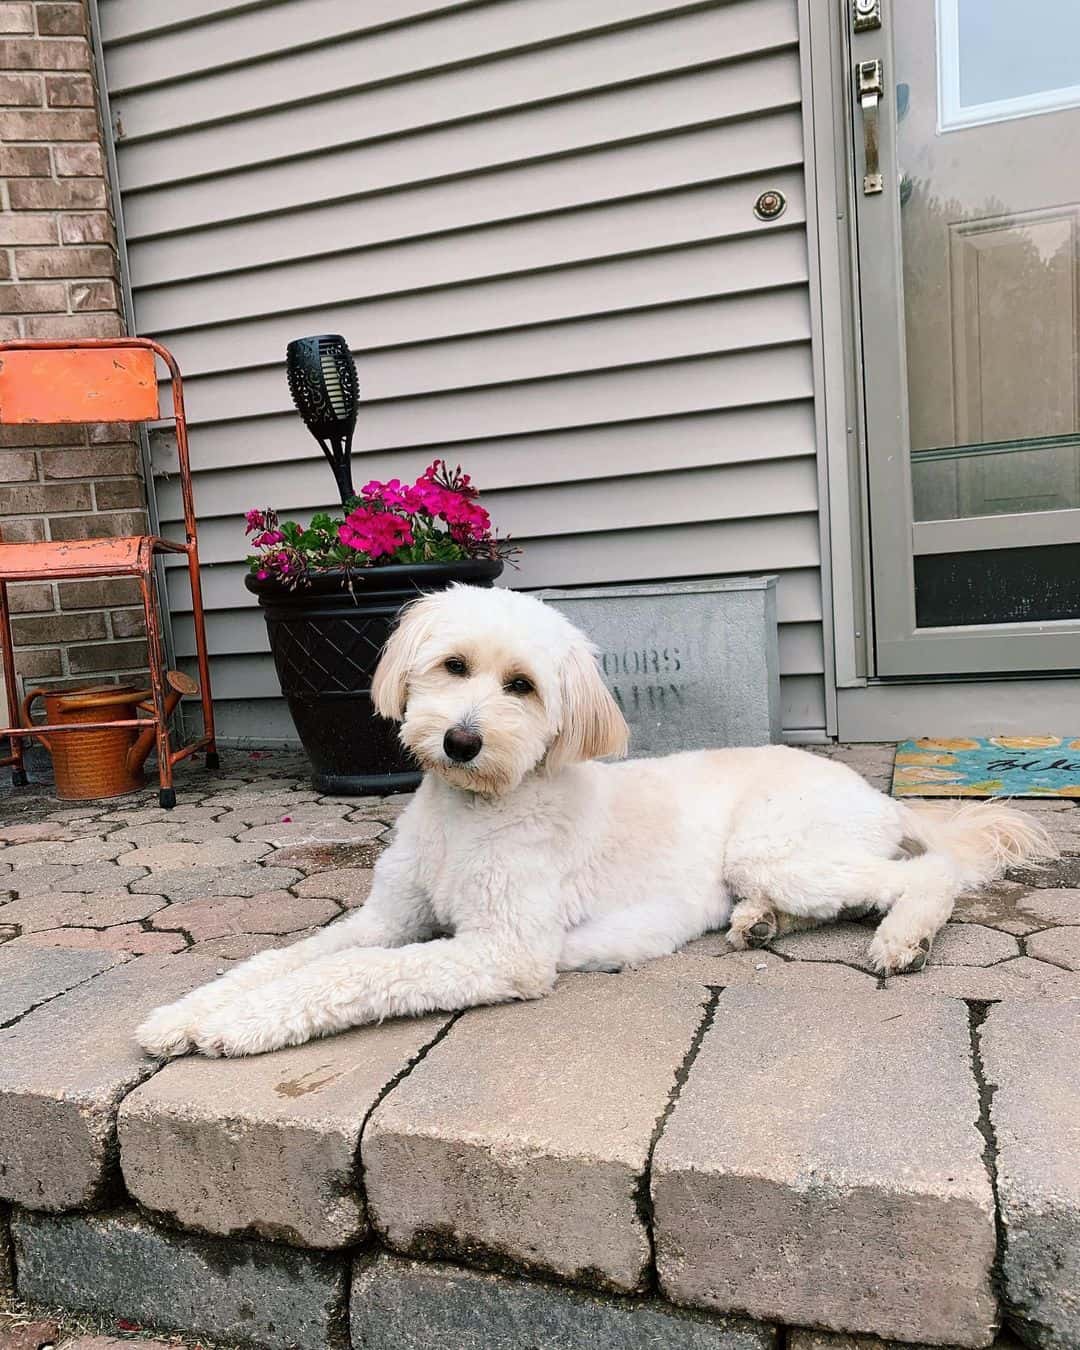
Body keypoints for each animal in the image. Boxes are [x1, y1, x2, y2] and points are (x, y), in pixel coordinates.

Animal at [137, 585, 1053, 1058]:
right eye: (453, 665)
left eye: (522, 687)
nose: (461, 741)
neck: (472, 815)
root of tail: (874, 793)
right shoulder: (386, 918)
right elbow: (291, 958)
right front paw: (187, 1012)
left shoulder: (501, 950)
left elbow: (354, 976)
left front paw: (237, 1024)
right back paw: (758, 925)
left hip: (779, 847)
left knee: (926, 874)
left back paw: (904, 936)